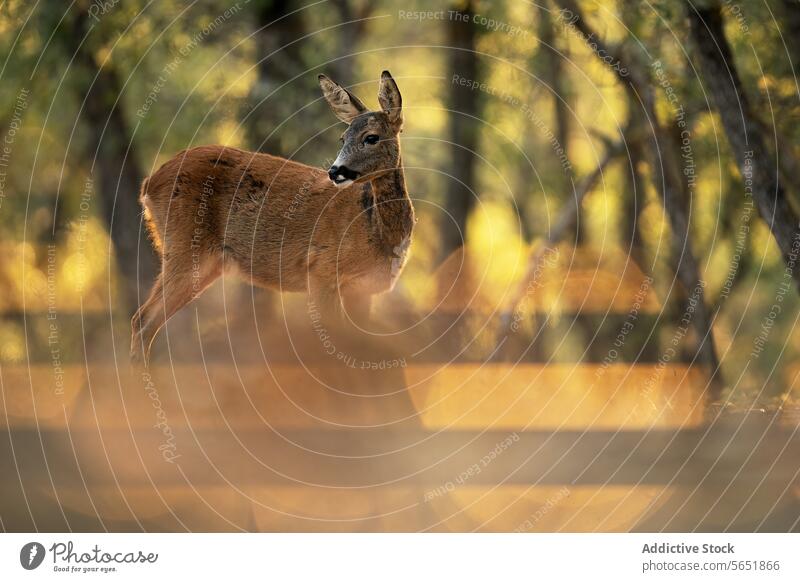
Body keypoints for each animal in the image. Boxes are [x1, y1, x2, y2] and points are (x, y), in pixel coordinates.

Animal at [130, 69, 418, 364]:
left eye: (371, 137)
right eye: (343, 137)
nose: (335, 171)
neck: (377, 231)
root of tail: (149, 184)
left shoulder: (363, 290)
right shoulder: (321, 269)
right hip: (185, 246)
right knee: (143, 319)